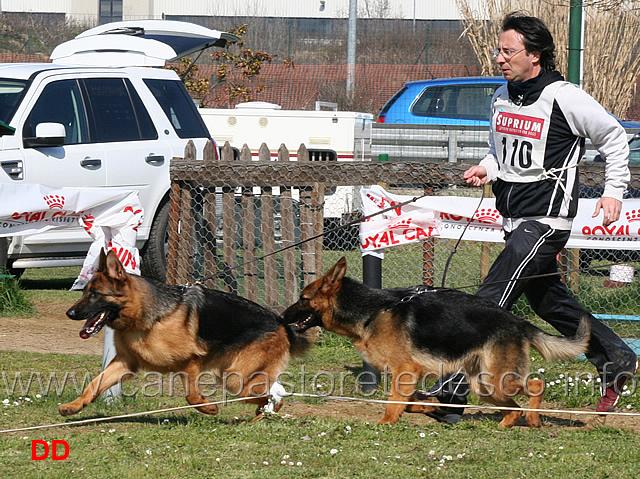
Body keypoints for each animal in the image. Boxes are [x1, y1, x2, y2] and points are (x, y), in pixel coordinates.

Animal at [58, 251, 314, 420]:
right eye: (84, 292)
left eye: (95, 294)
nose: (69, 313)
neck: (146, 316)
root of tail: (282, 323)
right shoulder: (124, 362)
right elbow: (94, 384)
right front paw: (74, 406)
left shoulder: (190, 362)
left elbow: (191, 396)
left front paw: (209, 408)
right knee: (270, 395)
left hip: (234, 378)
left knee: (270, 397)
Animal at [282, 258, 592, 428]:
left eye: (303, 299)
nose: (282, 317)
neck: (372, 311)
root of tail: (516, 321)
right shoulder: (408, 377)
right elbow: (410, 403)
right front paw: (431, 407)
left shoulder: (406, 370)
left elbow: (393, 404)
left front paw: (386, 423)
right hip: (484, 384)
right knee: (513, 406)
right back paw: (506, 424)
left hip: (498, 379)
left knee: (536, 385)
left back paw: (534, 419)